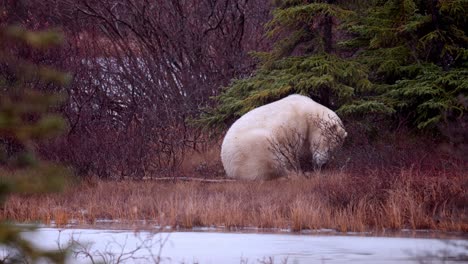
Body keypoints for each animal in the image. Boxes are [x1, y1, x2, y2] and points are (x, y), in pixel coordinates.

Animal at [220, 94, 348, 180]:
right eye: (328, 146)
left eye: (332, 150)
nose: (322, 164)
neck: (309, 110)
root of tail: (228, 168)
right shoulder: (294, 123)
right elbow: (289, 149)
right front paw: (297, 168)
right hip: (251, 147)